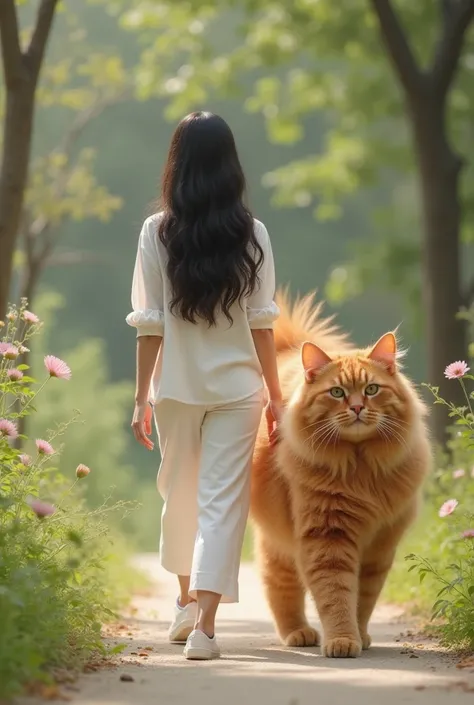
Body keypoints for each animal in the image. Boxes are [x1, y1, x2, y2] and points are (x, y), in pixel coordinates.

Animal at [250, 290, 432, 656]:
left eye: (372, 389)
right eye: (337, 392)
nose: (358, 407)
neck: (361, 467)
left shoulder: (379, 546)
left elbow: (363, 599)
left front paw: (358, 635)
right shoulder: (327, 536)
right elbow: (335, 595)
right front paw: (342, 640)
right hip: (278, 544)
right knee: (280, 588)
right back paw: (298, 633)